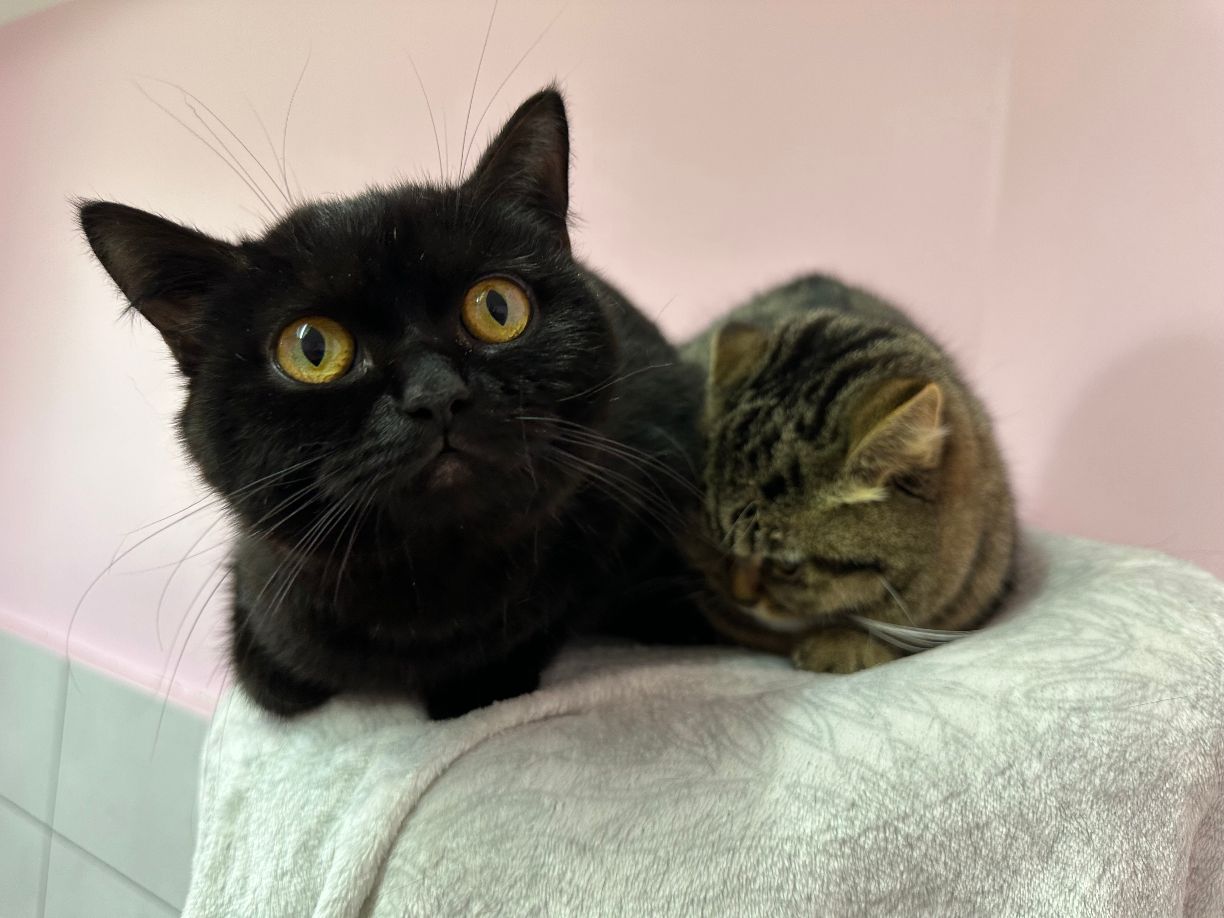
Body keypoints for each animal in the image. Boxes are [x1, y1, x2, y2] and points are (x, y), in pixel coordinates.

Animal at [79, 87, 709, 719]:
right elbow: (274, 680)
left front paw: (476, 682)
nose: (436, 394)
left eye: (498, 308)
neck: (425, 588)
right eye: (312, 348)